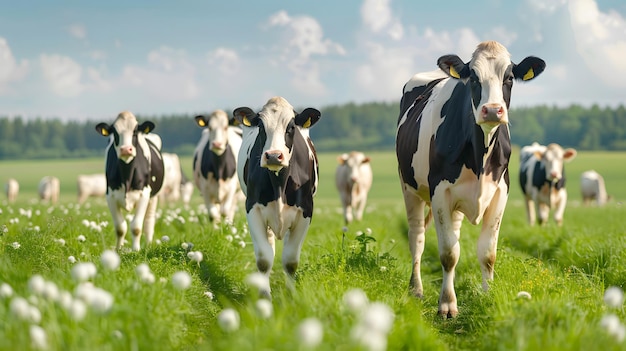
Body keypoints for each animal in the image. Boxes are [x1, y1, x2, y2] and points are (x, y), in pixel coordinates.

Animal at [94, 111, 163, 252]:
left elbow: (136, 227)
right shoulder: (110, 196)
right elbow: (120, 228)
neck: (127, 176)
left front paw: (136, 250)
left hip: (154, 197)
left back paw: (149, 244)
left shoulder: (144, 195)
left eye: (135, 131)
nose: (126, 149)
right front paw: (118, 249)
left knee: (149, 221)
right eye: (114, 132)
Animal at [233, 97, 322, 300]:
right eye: (261, 126)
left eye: (291, 126)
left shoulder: (306, 211)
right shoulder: (253, 208)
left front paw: (291, 296)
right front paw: (264, 295)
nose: (273, 156)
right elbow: (264, 259)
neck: (279, 182)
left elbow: (290, 260)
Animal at [398, 41, 544, 320]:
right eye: (473, 78)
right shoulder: (439, 192)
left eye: (510, 77)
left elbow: (487, 253)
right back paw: (416, 289)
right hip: (409, 188)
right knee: (417, 238)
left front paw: (487, 296)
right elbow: (448, 253)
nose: (492, 110)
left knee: (452, 233)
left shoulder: (500, 192)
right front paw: (447, 305)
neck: (480, 157)